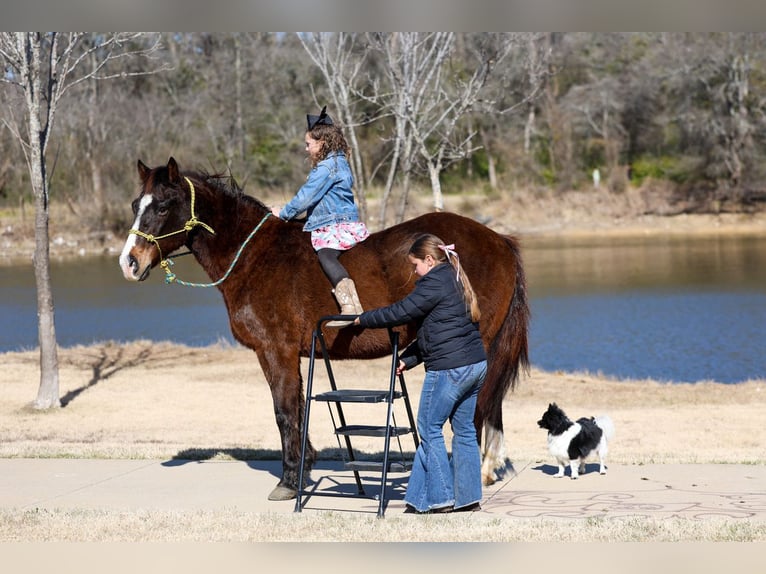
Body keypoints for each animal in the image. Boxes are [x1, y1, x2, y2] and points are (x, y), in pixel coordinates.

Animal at [119, 157, 530, 501]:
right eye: (136, 204)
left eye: (162, 206)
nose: (129, 263)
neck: (254, 257)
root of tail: (500, 240)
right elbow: (297, 410)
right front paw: (303, 468)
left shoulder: (276, 351)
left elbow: (285, 412)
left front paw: (289, 481)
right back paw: (489, 466)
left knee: (477, 405)